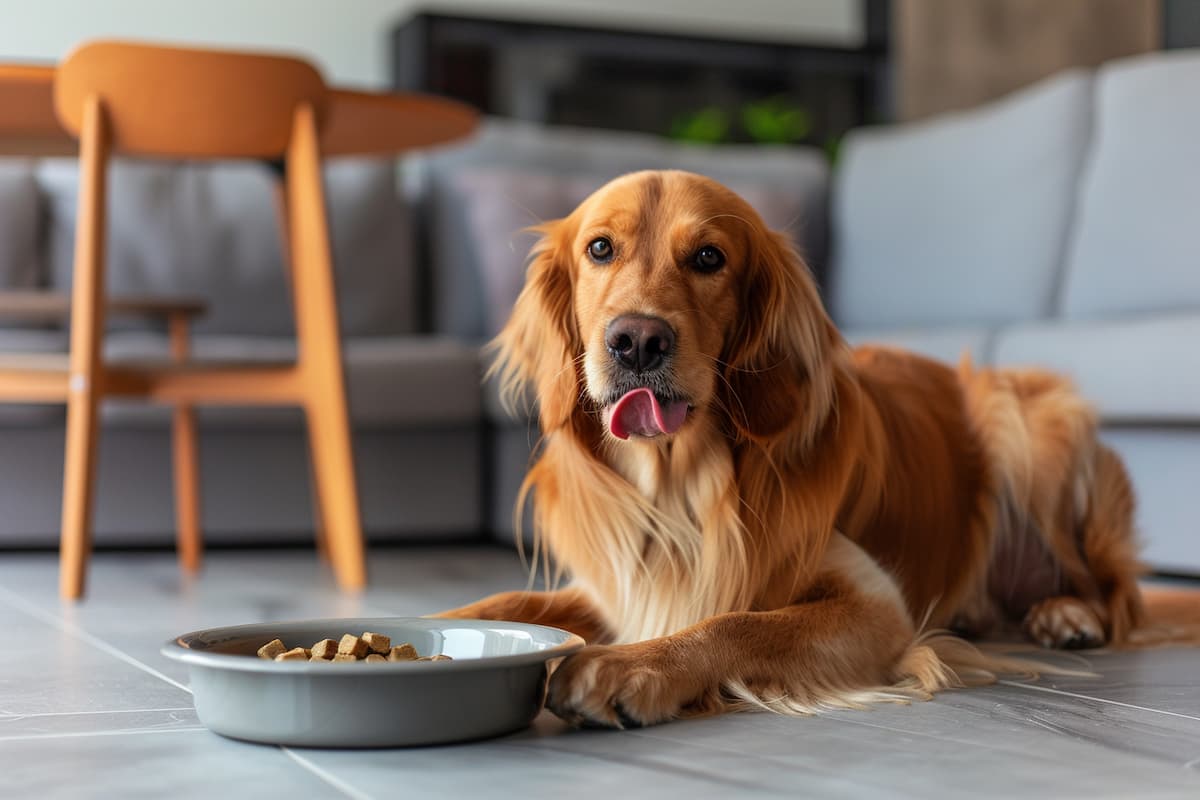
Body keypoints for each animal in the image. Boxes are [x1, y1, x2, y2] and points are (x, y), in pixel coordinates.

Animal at [439, 170, 1142, 734]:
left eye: (709, 257)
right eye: (600, 248)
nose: (637, 341)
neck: (679, 490)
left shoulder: (876, 606)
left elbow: (737, 621)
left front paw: (628, 666)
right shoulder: (620, 582)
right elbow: (505, 604)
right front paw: (440, 626)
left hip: (1028, 425)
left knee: (1115, 596)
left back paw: (1066, 615)